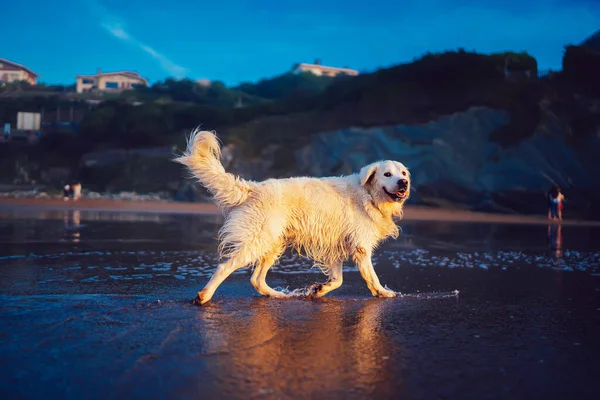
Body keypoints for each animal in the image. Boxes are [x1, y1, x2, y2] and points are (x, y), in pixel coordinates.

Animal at [173, 130, 408, 304]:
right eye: (387, 174)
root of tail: (253, 187)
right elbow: (371, 276)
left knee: (256, 279)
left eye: (403, 173)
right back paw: (204, 296)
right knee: (225, 267)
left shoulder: (336, 244)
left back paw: (277, 295)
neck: (368, 195)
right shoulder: (361, 247)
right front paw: (384, 292)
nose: (403, 183)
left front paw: (319, 289)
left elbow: (338, 279)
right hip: (259, 239)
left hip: (273, 242)